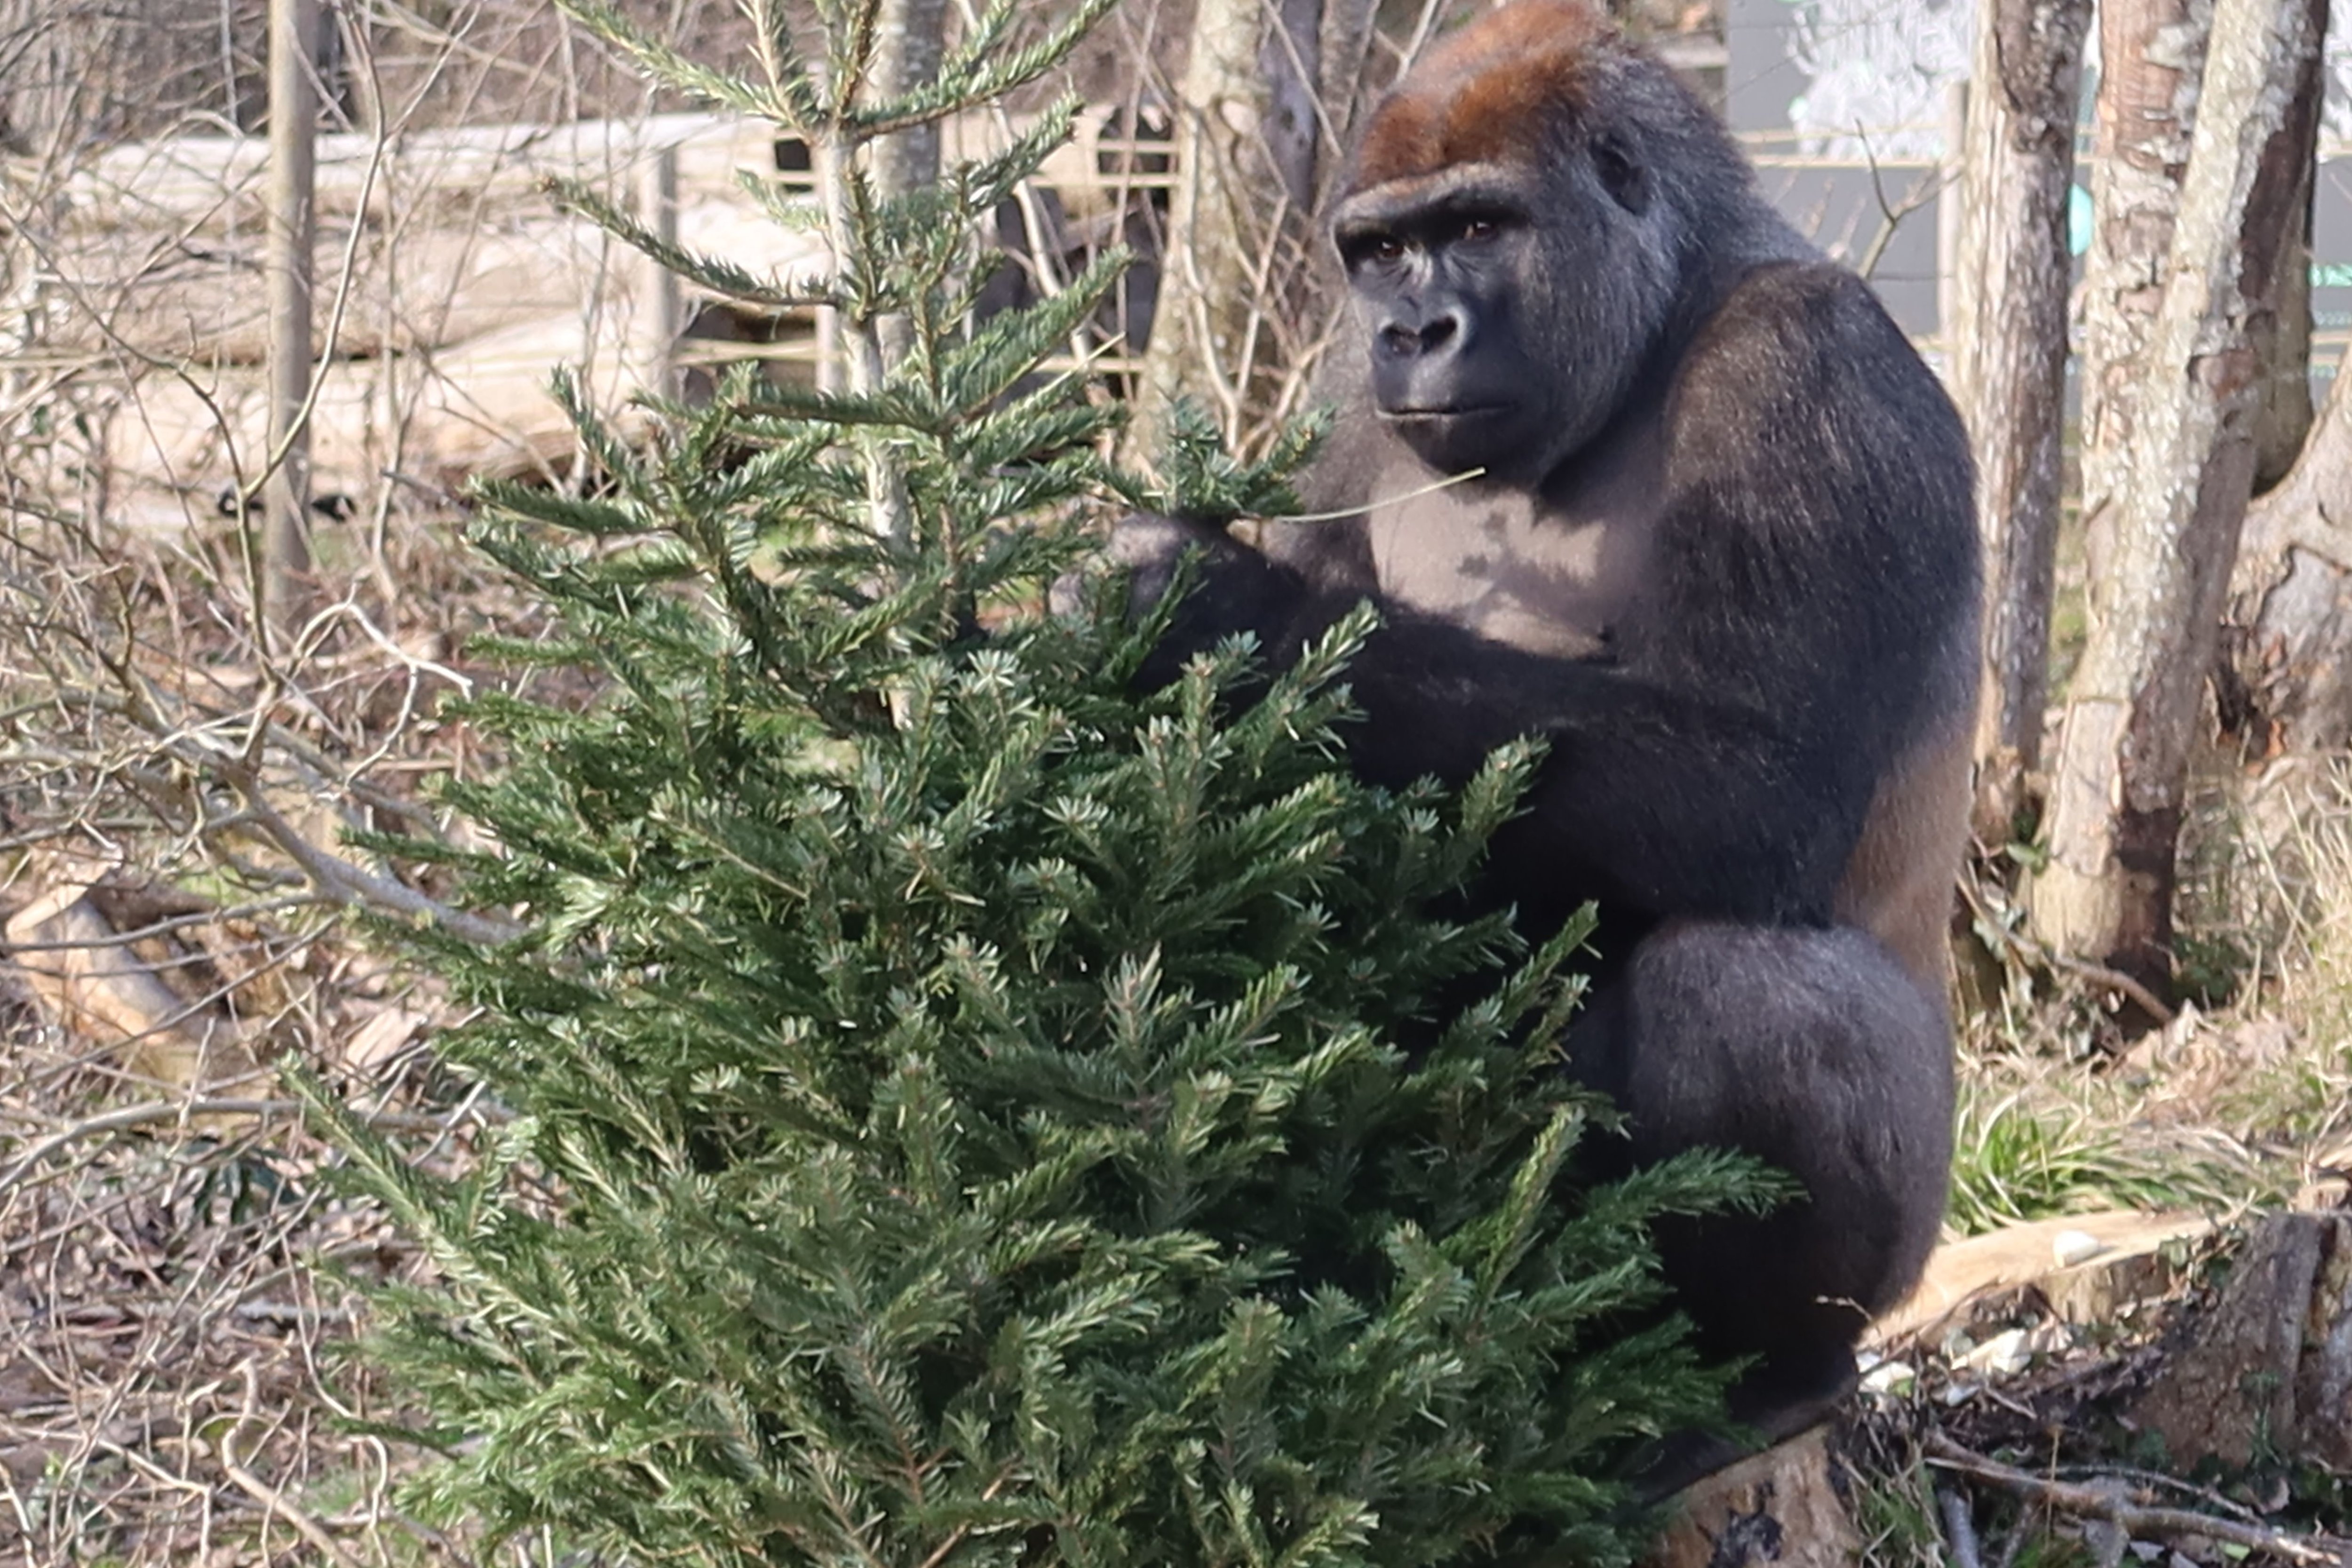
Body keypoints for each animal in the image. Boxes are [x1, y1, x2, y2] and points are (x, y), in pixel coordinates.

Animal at [1105, 0, 1985, 1486]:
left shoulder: (1812, 365)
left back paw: (1769, 1375)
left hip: (1916, 1245)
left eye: (1477, 226)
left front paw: (1207, 603)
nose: (1413, 328)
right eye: (1379, 250)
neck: (1666, 304)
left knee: (1745, 992)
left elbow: (1758, 785)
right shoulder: (1343, 408)